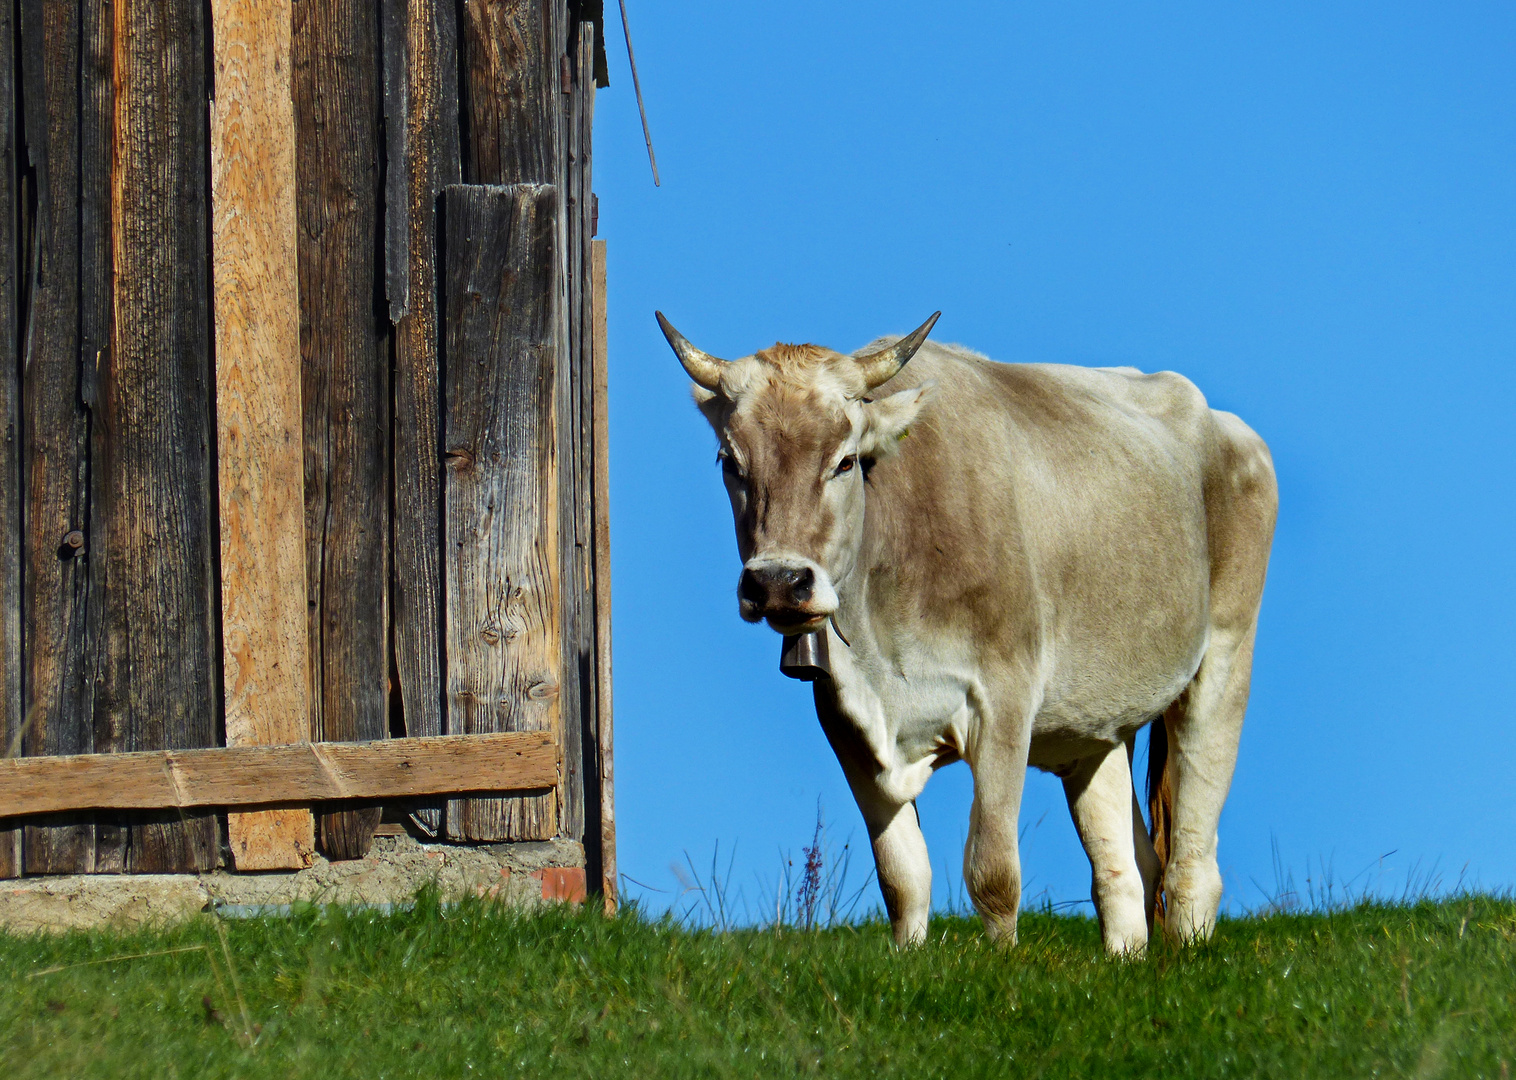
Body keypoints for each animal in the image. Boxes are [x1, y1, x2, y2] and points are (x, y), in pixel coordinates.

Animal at [664, 309, 1279, 952]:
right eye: (731, 462)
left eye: (845, 461)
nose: (779, 582)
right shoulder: (844, 718)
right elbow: (902, 876)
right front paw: (909, 957)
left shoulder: (1003, 699)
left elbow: (993, 872)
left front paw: (1003, 963)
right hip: (1098, 721)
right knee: (1125, 864)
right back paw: (1128, 955)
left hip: (1225, 659)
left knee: (1192, 852)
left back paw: (1187, 944)